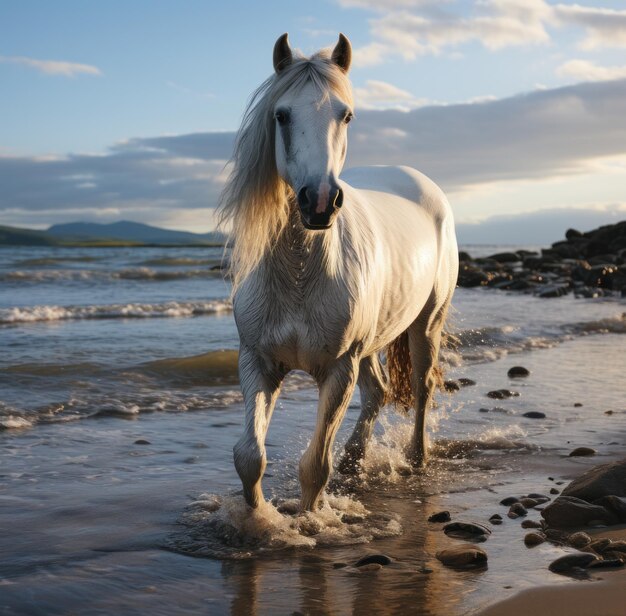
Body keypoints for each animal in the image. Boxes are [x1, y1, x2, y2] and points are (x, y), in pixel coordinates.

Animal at [217, 35, 456, 516]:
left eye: (345, 115)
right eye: (281, 115)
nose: (320, 201)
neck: (298, 272)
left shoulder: (338, 370)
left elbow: (314, 467)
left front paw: (309, 522)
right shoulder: (258, 362)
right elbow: (249, 457)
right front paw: (257, 520)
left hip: (426, 325)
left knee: (421, 387)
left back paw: (416, 459)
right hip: (372, 343)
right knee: (379, 391)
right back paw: (355, 459)